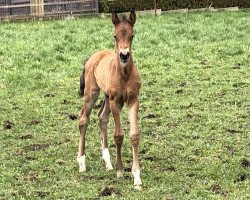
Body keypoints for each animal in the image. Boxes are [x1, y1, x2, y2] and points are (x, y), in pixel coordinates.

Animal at [77, 11, 142, 188]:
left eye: (132, 35)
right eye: (115, 35)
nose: (124, 55)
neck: (124, 75)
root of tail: (92, 57)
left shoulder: (133, 100)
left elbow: (134, 135)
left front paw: (136, 176)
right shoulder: (115, 101)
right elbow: (118, 135)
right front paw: (120, 171)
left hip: (106, 97)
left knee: (102, 117)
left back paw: (108, 162)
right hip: (92, 93)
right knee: (83, 119)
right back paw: (81, 163)